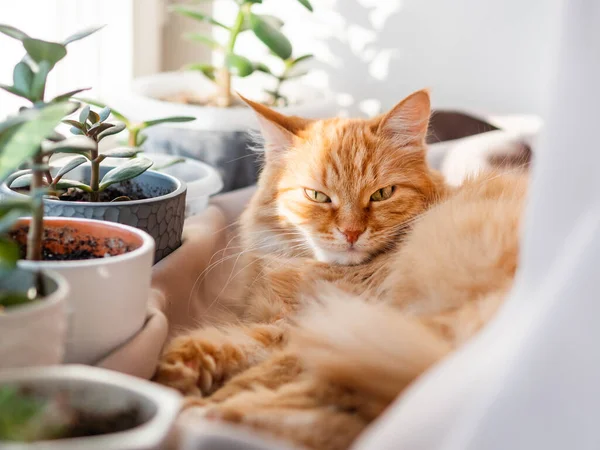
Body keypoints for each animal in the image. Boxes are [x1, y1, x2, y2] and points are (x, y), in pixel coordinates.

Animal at [156, 89, 528, 448]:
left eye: (382, 194)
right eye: (317, 196)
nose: (351, 233)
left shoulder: (321, 327)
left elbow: (258, 370)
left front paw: (203, 391)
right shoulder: (287, 322)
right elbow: (236, 341)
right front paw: (182, 367)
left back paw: (207, 414)